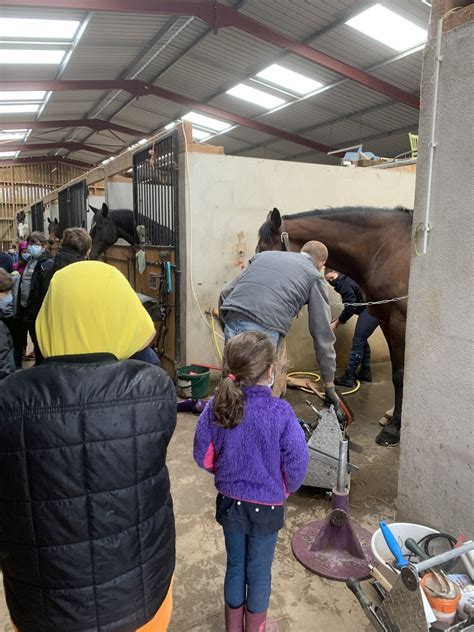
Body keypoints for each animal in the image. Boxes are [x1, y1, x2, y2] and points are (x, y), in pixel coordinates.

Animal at [256, 206, 412, 444]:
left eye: (266, 249)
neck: (386, 248)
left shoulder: (399, 322)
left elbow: (401, 374)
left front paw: (393, 429)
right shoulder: (386, 321)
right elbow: (397, 372)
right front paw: (394, 419)